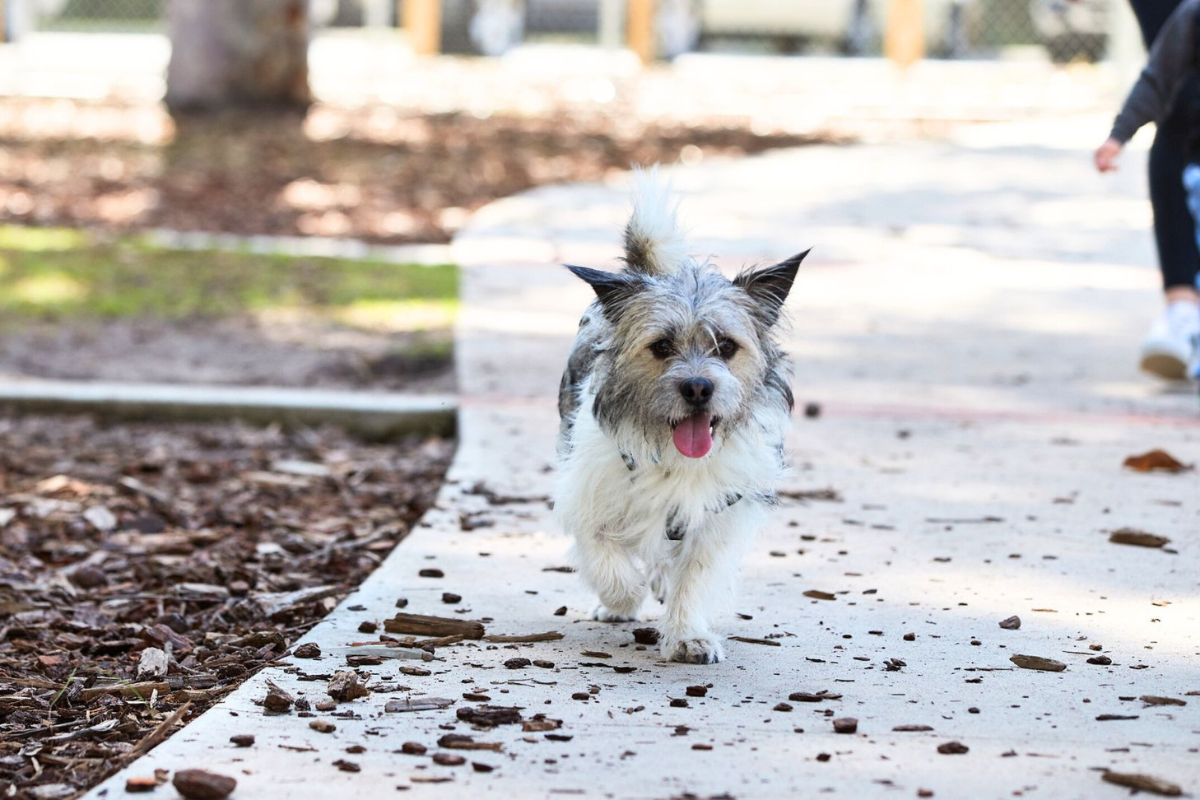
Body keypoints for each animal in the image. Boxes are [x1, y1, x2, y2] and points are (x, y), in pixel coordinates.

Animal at [552, 167, 806, 662]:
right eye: (661, 346)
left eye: (725, 346)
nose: (698, 387)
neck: (672, 454)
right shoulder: (586, 494)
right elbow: (605, 555)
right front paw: (622, 599)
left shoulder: (721, 513)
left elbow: (696, 574)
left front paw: (688, 633)